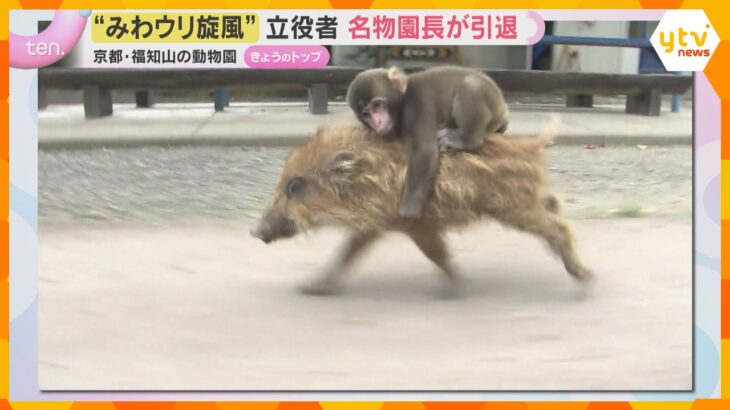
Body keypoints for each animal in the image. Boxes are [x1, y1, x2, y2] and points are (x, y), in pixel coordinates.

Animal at [250, 120, 593, 295]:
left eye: (295, 186)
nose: (255, 231)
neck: (367, 176)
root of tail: (532, 145)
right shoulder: (375, 225)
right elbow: (347, 253)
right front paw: (310, 287)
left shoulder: (416, 224)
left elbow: (436, 254)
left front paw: (457, 285)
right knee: (554, 206)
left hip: (516, 208)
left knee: (559, 227)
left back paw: (585, 276)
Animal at [346, 65, 510, 219]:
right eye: (366, 114)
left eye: (377, 105)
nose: (377, 123)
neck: (403, 100)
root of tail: (503, 110)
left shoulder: (417, 105)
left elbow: (425, 151)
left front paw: (408, 210)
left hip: (492, 103)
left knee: (471, 85)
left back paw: (466, 140)